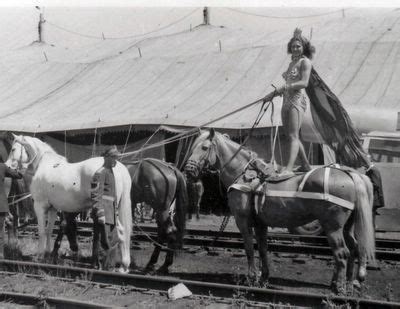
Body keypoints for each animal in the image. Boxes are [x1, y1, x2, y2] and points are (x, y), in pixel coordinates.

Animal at [5, 134, 133, 270]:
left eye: (13, 149)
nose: (7, 166)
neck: (44, 164)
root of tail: (117, 166)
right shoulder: (52, 208)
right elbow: (49, 230)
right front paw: (48, 253)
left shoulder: (40, 206)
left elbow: (42, 231)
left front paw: (39, 255)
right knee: (120, 233)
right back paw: (119, 264)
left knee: (118, 232)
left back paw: (117, 265)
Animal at [184, 129, 376, 292]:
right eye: (192, 147)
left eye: (204, 147)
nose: (188, 170)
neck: (243, 174)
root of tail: (351, 174)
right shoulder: (260, 224)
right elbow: (262, 249)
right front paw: (263, 278)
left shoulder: (243, 221)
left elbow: (249, 249)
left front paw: (252, 278)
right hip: (347, 226)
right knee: (354, 249)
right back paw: (348, 283)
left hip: (332, 227)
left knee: (342, 253)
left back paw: (339, 288)